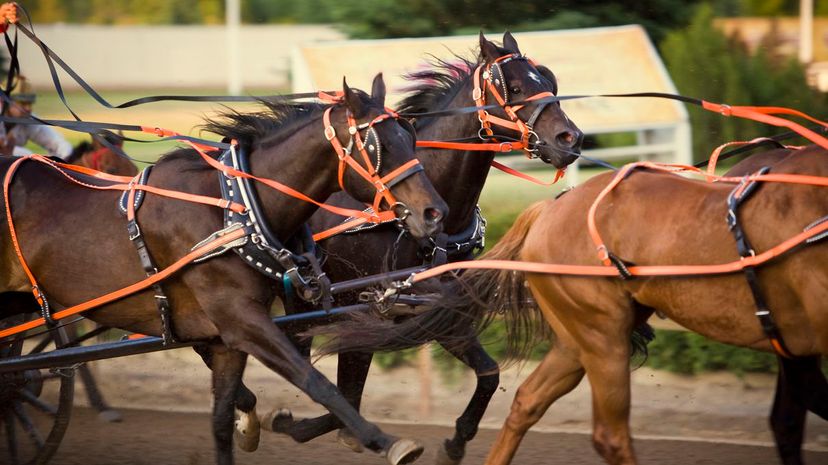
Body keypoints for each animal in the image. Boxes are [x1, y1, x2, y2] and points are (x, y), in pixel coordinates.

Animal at [0, 76, 446, 464]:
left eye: (410, 136)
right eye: (379, 146)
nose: (434, 212)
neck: (234, 209)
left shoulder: (225, 338)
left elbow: (220, 420)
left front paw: (245, 426)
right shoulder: (241, 320)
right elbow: (314, 381)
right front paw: (385, 440)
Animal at [243, 30, 584, 462]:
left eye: (549, 83)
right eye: (517, 87)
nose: (570, 139)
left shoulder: (438, 308)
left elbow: (489, 373)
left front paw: (456, 441)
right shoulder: (362, 306)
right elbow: (346, 393)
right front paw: (295, 424)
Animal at [412, 146, 820, 464]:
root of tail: (550, 207)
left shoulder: (795, 344)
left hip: (578, 340)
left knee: (529, 400)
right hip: (602, 337)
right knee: (610, 436)